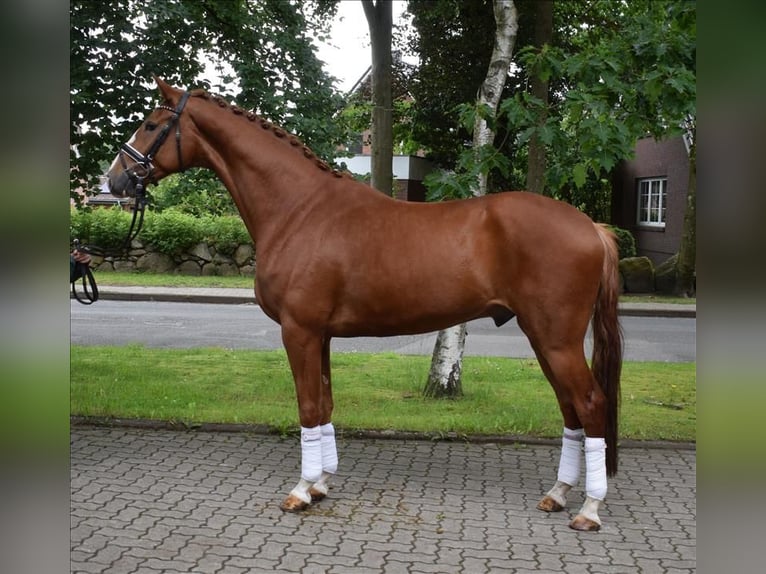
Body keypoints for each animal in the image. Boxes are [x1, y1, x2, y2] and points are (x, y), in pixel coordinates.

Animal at [106, 79, 624, 532]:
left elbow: (308, 407)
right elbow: (325, 403)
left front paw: (301, 491)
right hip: (543, 338)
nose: (115, 180)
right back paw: (557, 494)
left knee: (590, 403)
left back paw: (589, 510)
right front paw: (321, 484)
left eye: (151, 125)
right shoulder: (320, 335)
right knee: (570, 409)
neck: (300, 210)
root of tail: (591, 227)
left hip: (555, 339)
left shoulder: (298, 331)